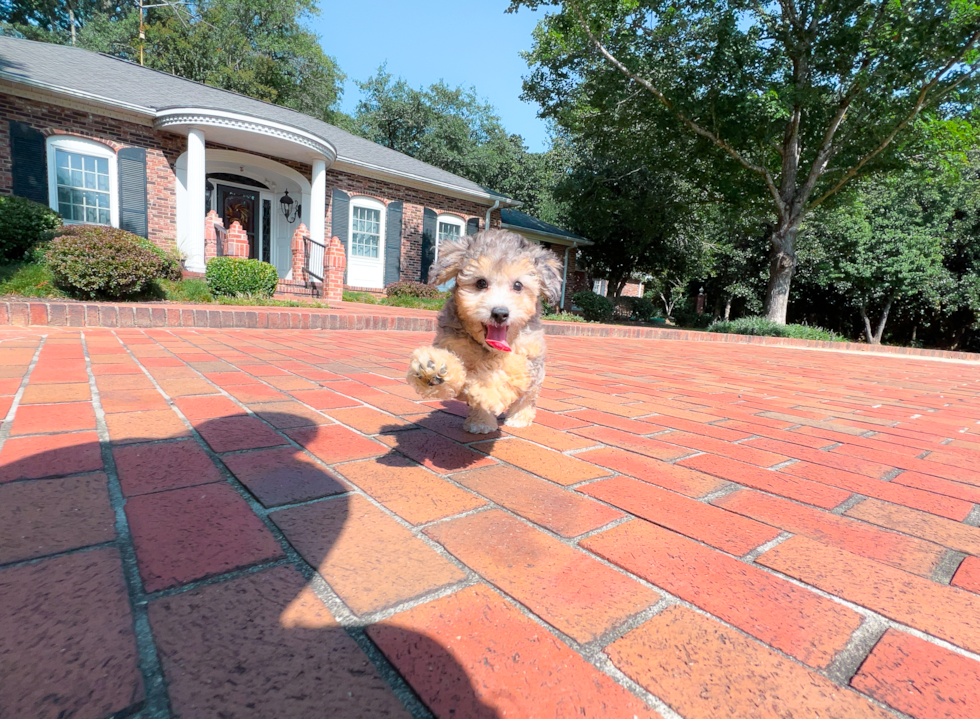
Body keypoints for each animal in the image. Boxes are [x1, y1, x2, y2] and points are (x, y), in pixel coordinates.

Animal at [404, 231, 560, 434]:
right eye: (481, 283)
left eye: (518, 285)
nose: (500, 313)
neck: (489, 348)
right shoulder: (454, 344)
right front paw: (434, 368)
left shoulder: (528, 352)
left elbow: (506, 370)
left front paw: (488, 388)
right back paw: (481, 422)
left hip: (536, 377)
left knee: (527, 398)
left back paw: (519, 418)